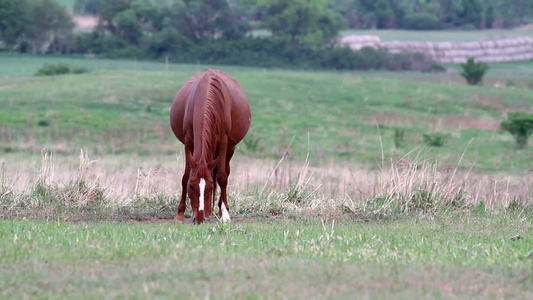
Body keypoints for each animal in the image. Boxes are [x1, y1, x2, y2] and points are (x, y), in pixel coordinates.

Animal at [171, 68, 252, 223]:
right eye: (191, 186)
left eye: (209, 187)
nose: (199, 218)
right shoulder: (188, 141)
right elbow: (185, 175)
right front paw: (180, 214)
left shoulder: (223, 141)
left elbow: (221, 177)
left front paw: (225, 214)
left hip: (230, 148)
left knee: (225, 171)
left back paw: (218, 210)